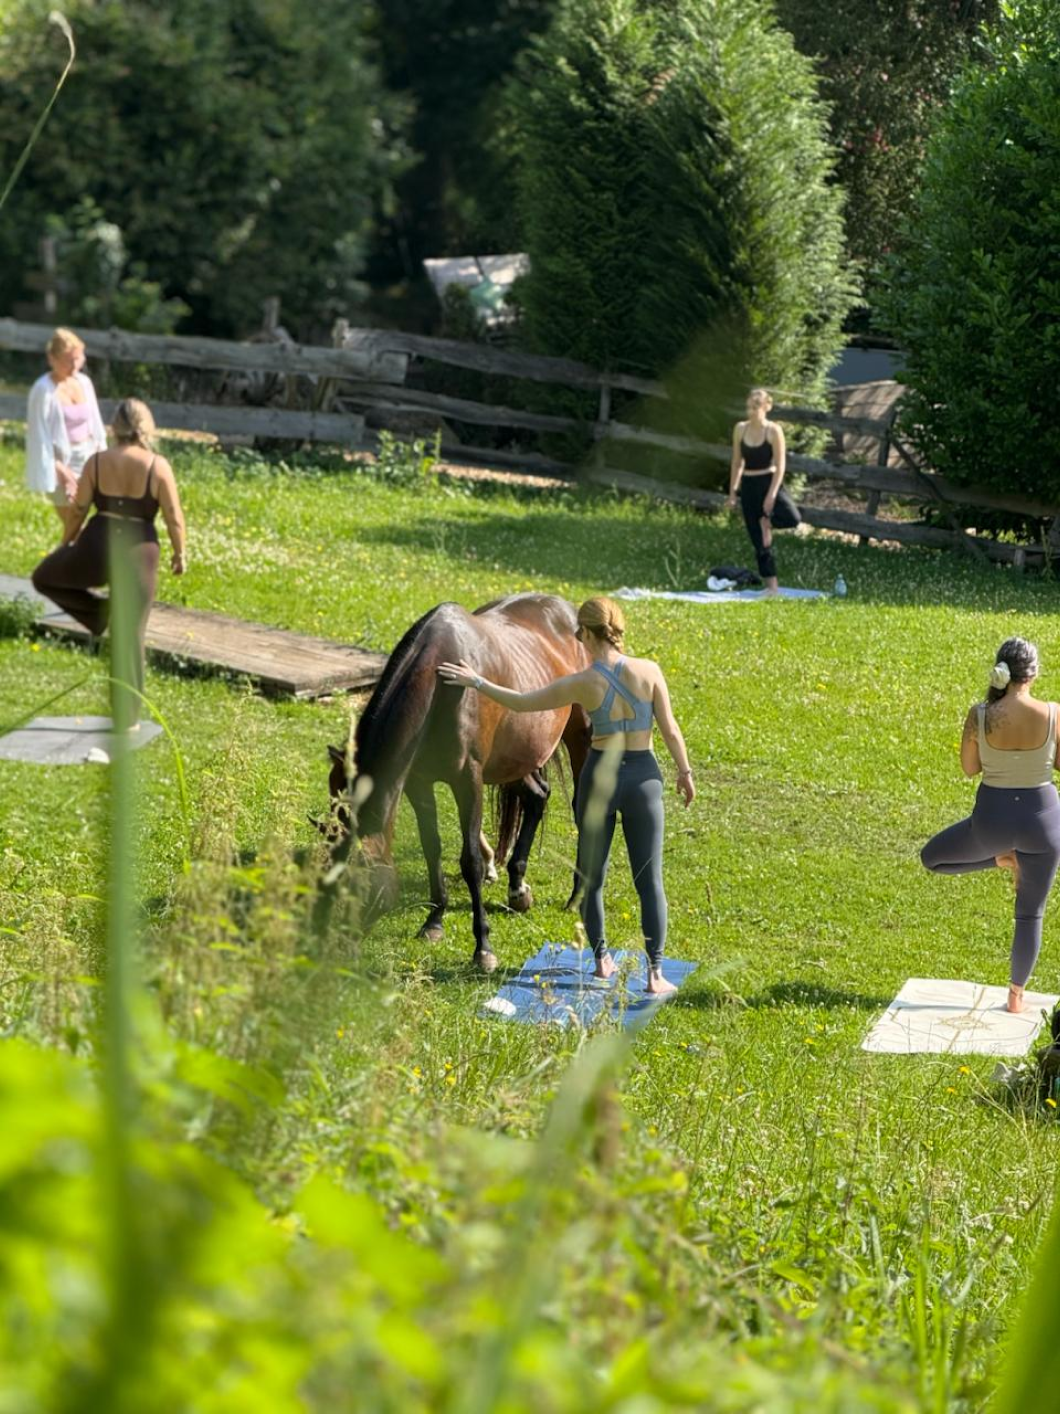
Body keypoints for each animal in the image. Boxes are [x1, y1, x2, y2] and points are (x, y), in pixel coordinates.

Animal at [324, 592, 592, 971]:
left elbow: (471, 862)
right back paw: (518, 888)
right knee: (537, 796)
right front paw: (434, 921)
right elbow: (431, 846)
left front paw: (483, 948)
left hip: (579, 736)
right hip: (517, 756)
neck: (439, 679)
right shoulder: (418, 782)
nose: (337, 951)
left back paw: (577, 895)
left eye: (358, 891)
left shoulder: (469, 782)